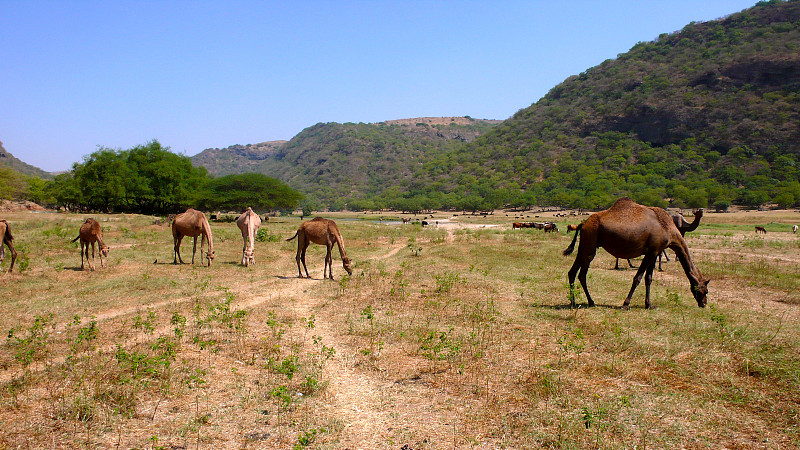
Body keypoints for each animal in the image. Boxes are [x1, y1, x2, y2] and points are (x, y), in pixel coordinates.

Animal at [564, 198, 708, 310]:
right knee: (581, 274)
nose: (704, 304)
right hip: (589, 245)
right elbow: (638, 278)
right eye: (704, 290)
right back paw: (588, 302)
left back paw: (575, 302)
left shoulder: (655, 252)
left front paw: (649, 305)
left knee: (573, 272)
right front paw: (626, 304)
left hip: (585, 246)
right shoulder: (651, 251)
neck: (669, 229)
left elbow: (648, 278)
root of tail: (582, 224)